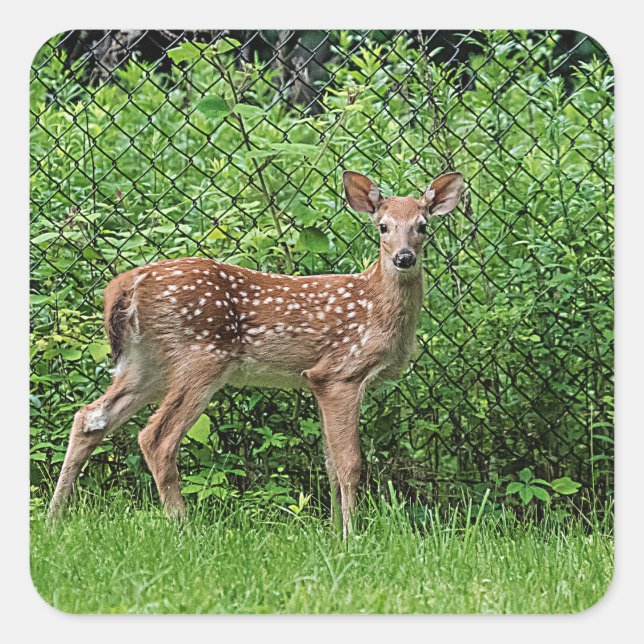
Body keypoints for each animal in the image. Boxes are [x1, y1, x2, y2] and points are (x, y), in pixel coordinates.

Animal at [48, 170, 464, 537]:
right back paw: (183, 528)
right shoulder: (341, 372)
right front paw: (352, 536)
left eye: (423, 226)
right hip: (200, 356)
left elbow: (329, 463)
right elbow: (350, 464)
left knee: (90, 417)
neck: (376, 306)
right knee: (156, 438)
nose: (404, 257)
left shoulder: (316, 381)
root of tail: (126, 284)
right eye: (383, 227)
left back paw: (56, 516)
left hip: (146, 363)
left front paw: (333, 534)